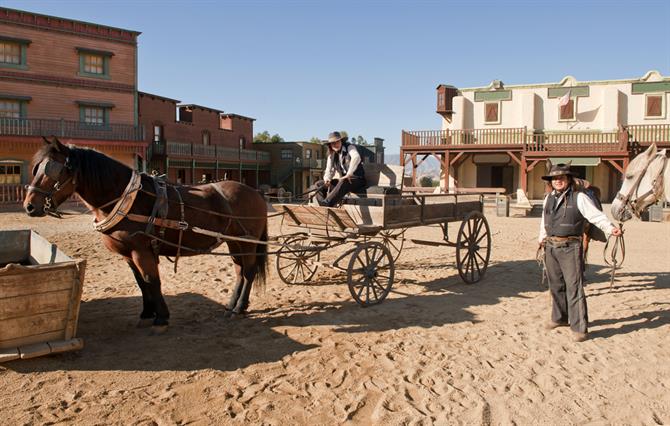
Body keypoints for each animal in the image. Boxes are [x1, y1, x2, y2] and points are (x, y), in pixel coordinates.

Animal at [23, 138, 270, 332]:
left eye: (54, 169)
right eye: (36, 168)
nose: (29, 206)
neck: (128, 199)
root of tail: (255, 192)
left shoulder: (141, 251)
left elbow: (152, 280)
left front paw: (161, 317)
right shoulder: (127, 254)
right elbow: (142, 283)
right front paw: (146, 314)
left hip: (247, 242)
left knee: (248, 272)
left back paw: (239, 308)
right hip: (234, 242)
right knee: (239, 271)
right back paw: (232, 305)